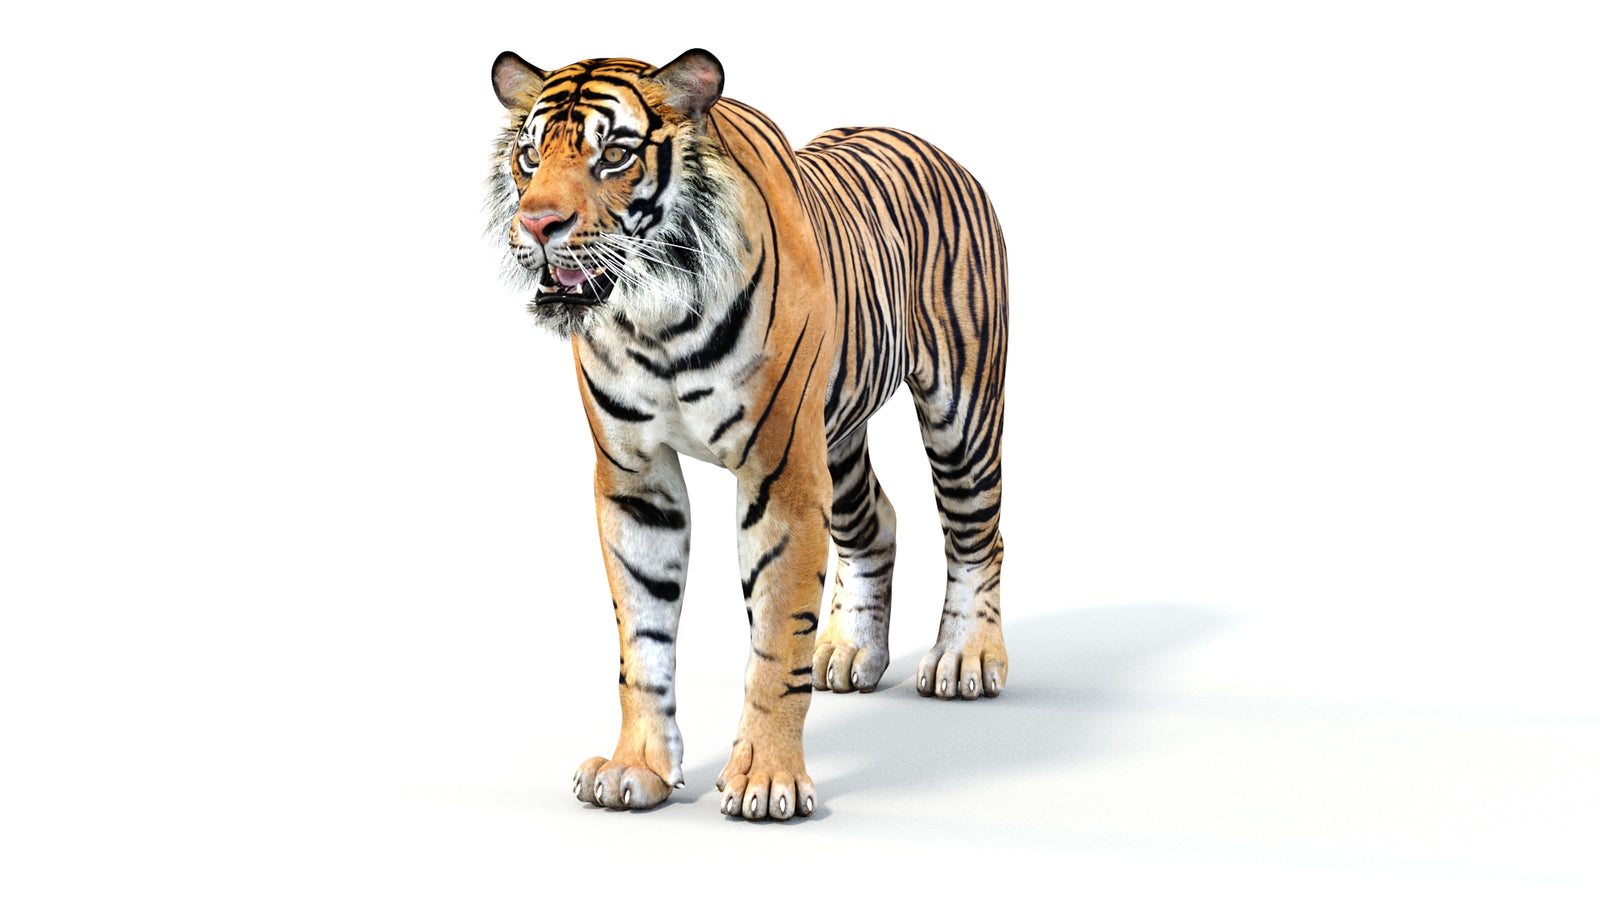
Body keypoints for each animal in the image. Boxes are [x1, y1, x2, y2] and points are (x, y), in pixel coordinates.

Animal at [486, 48, 1008, 820]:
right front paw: (635, 768)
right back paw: (850, 653)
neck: (654, 314)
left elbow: (774, 637)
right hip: (838, 440)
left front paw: (766, 779)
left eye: (614, 155)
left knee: (978, 533)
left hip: (959, 410)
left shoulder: (781, 473)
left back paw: (965, 659)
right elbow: (643, 638)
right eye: (529, 155)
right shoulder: (636, 477)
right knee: (878, 520)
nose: (537, 223)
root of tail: (933, 146)